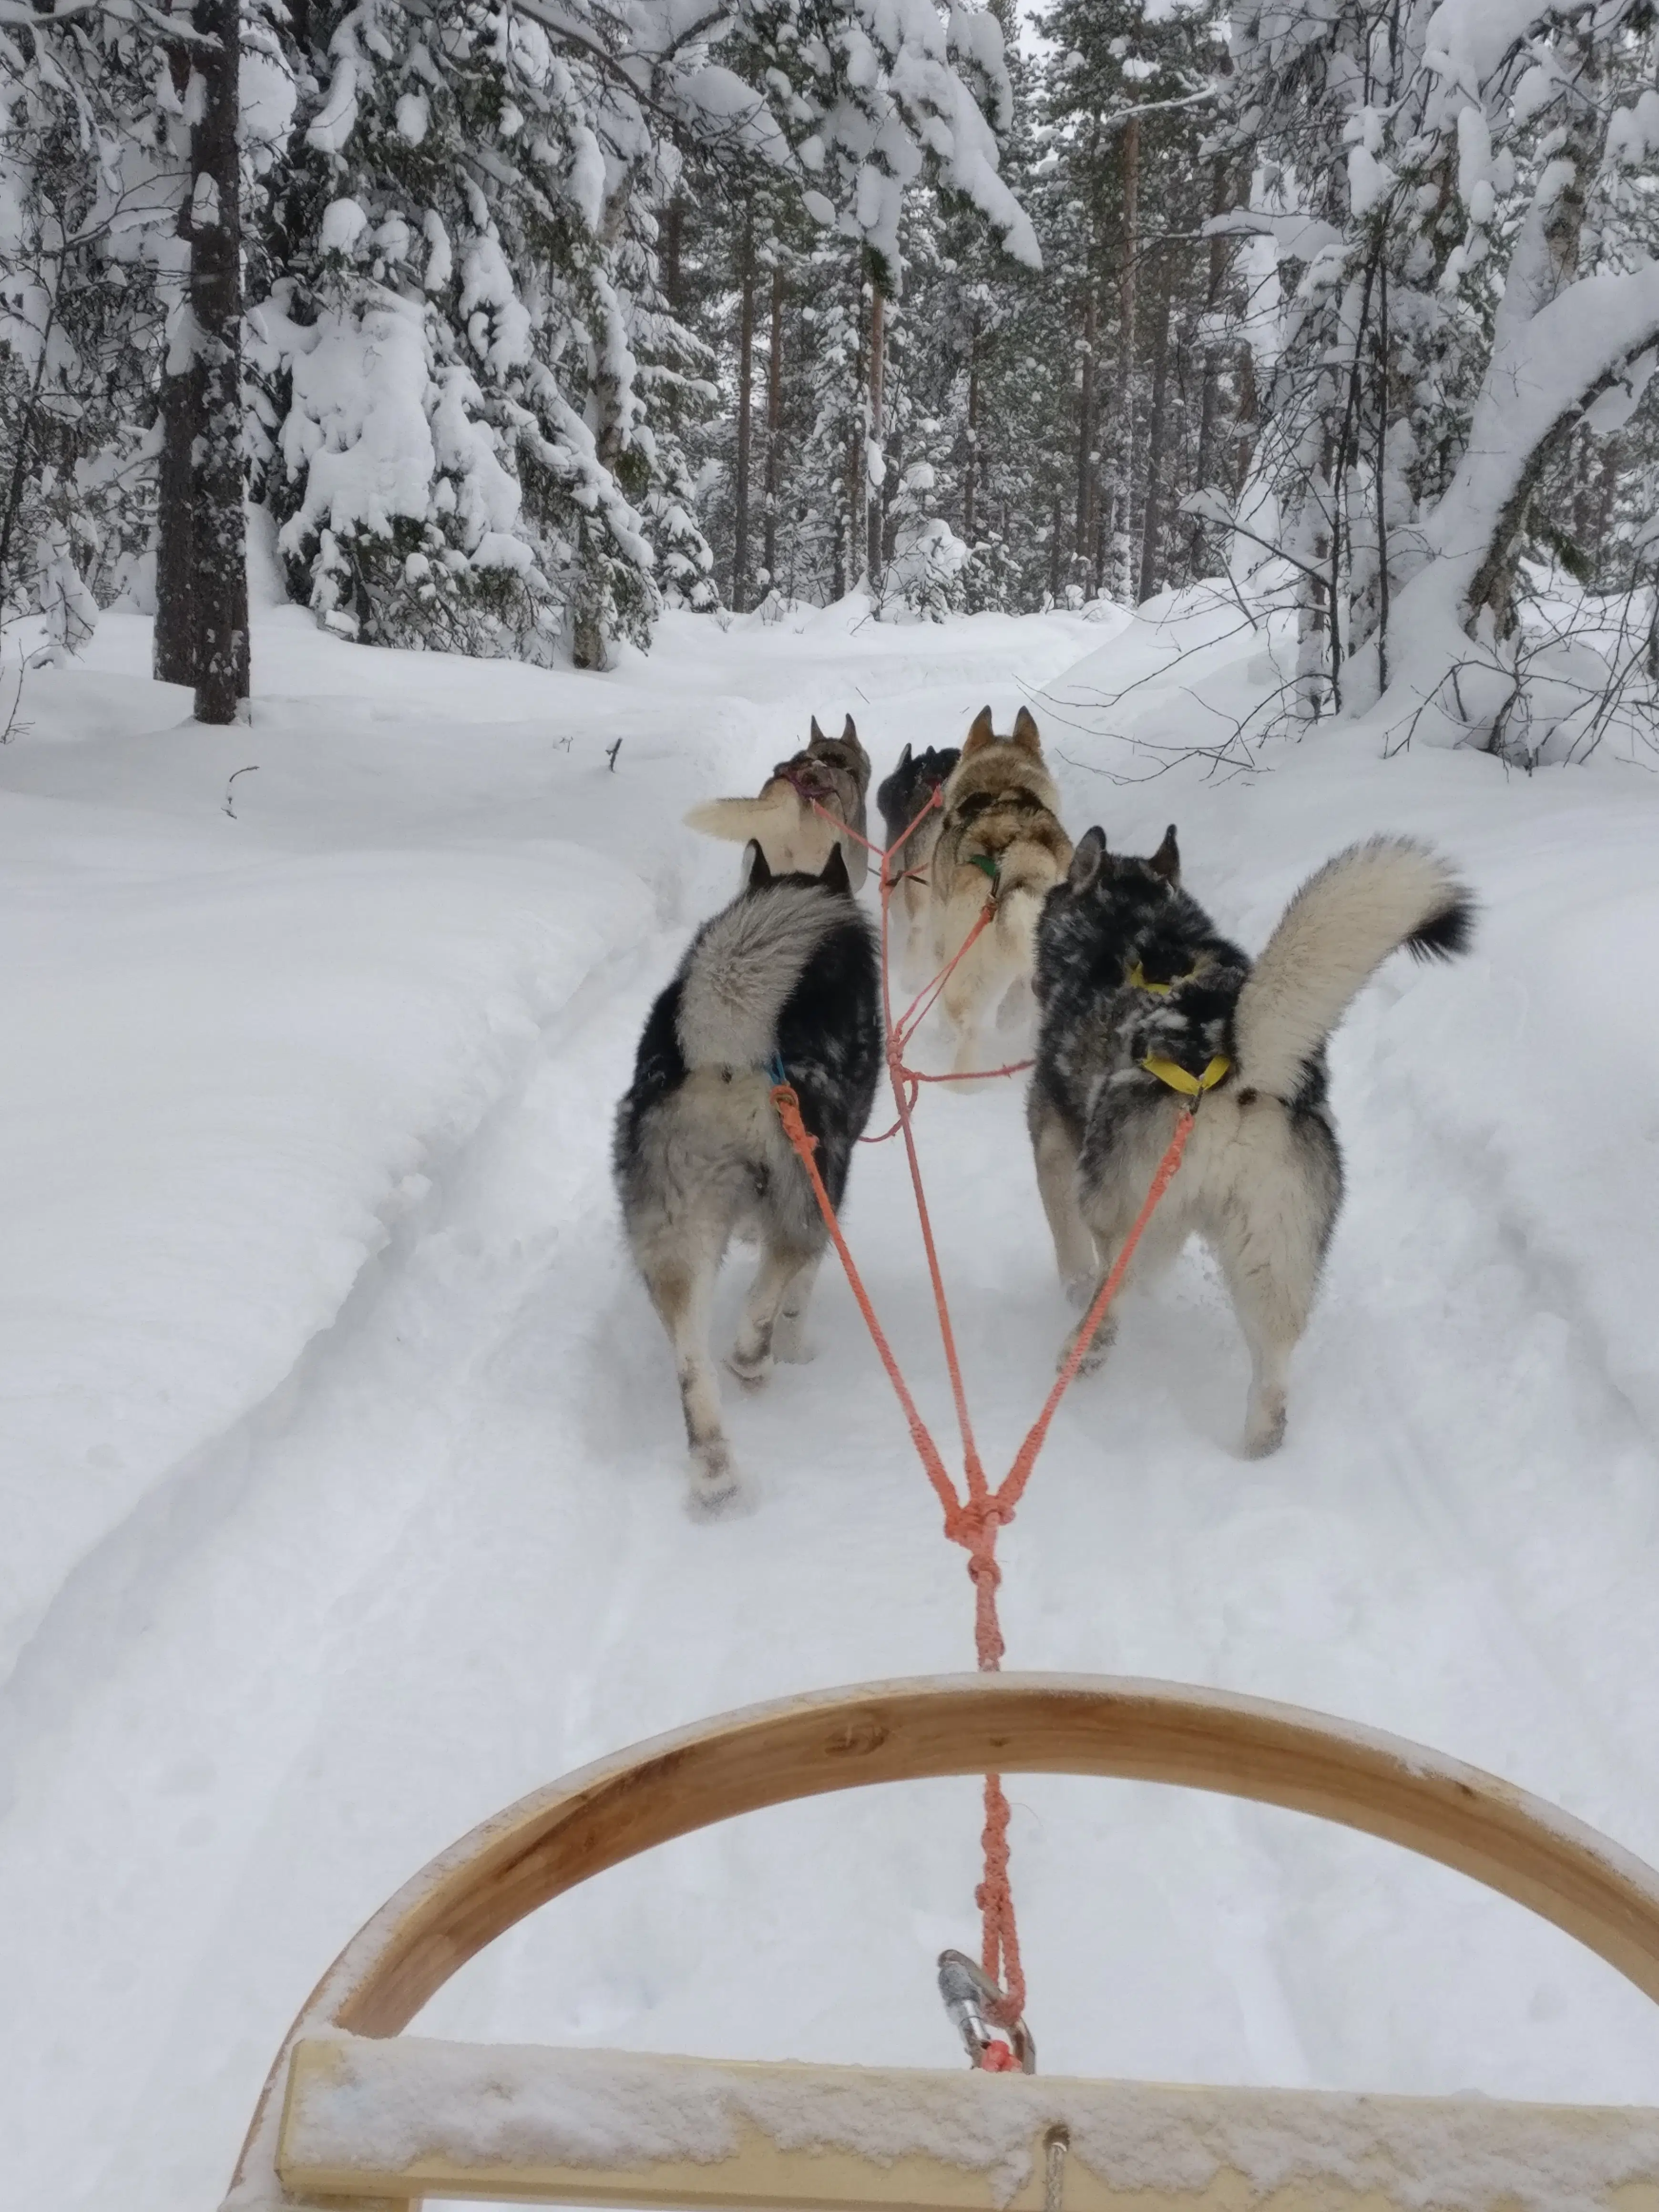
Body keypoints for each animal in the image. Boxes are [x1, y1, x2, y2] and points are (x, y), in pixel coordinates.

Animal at [619, 836, 889, 1513]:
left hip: (675, 1236)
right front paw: (794, 1353)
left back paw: (715, 1475)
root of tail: (725, 1051)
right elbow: (798, 1295)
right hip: (810, 1191)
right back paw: (753, 1359)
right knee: (770, 1286)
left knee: (692, 1365)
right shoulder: (826, 1196)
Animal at [1035, 827, 1477, 1451]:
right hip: (1273, 1253)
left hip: (1118, 1205)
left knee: (1113, 1292)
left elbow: (1069, 1250)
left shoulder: (1054, 1144)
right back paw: (1259, 1440)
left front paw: (1074, 1287)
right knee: (1273, 1366)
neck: (1136, 924)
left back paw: (1083, 1351)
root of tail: (1236, 1063)